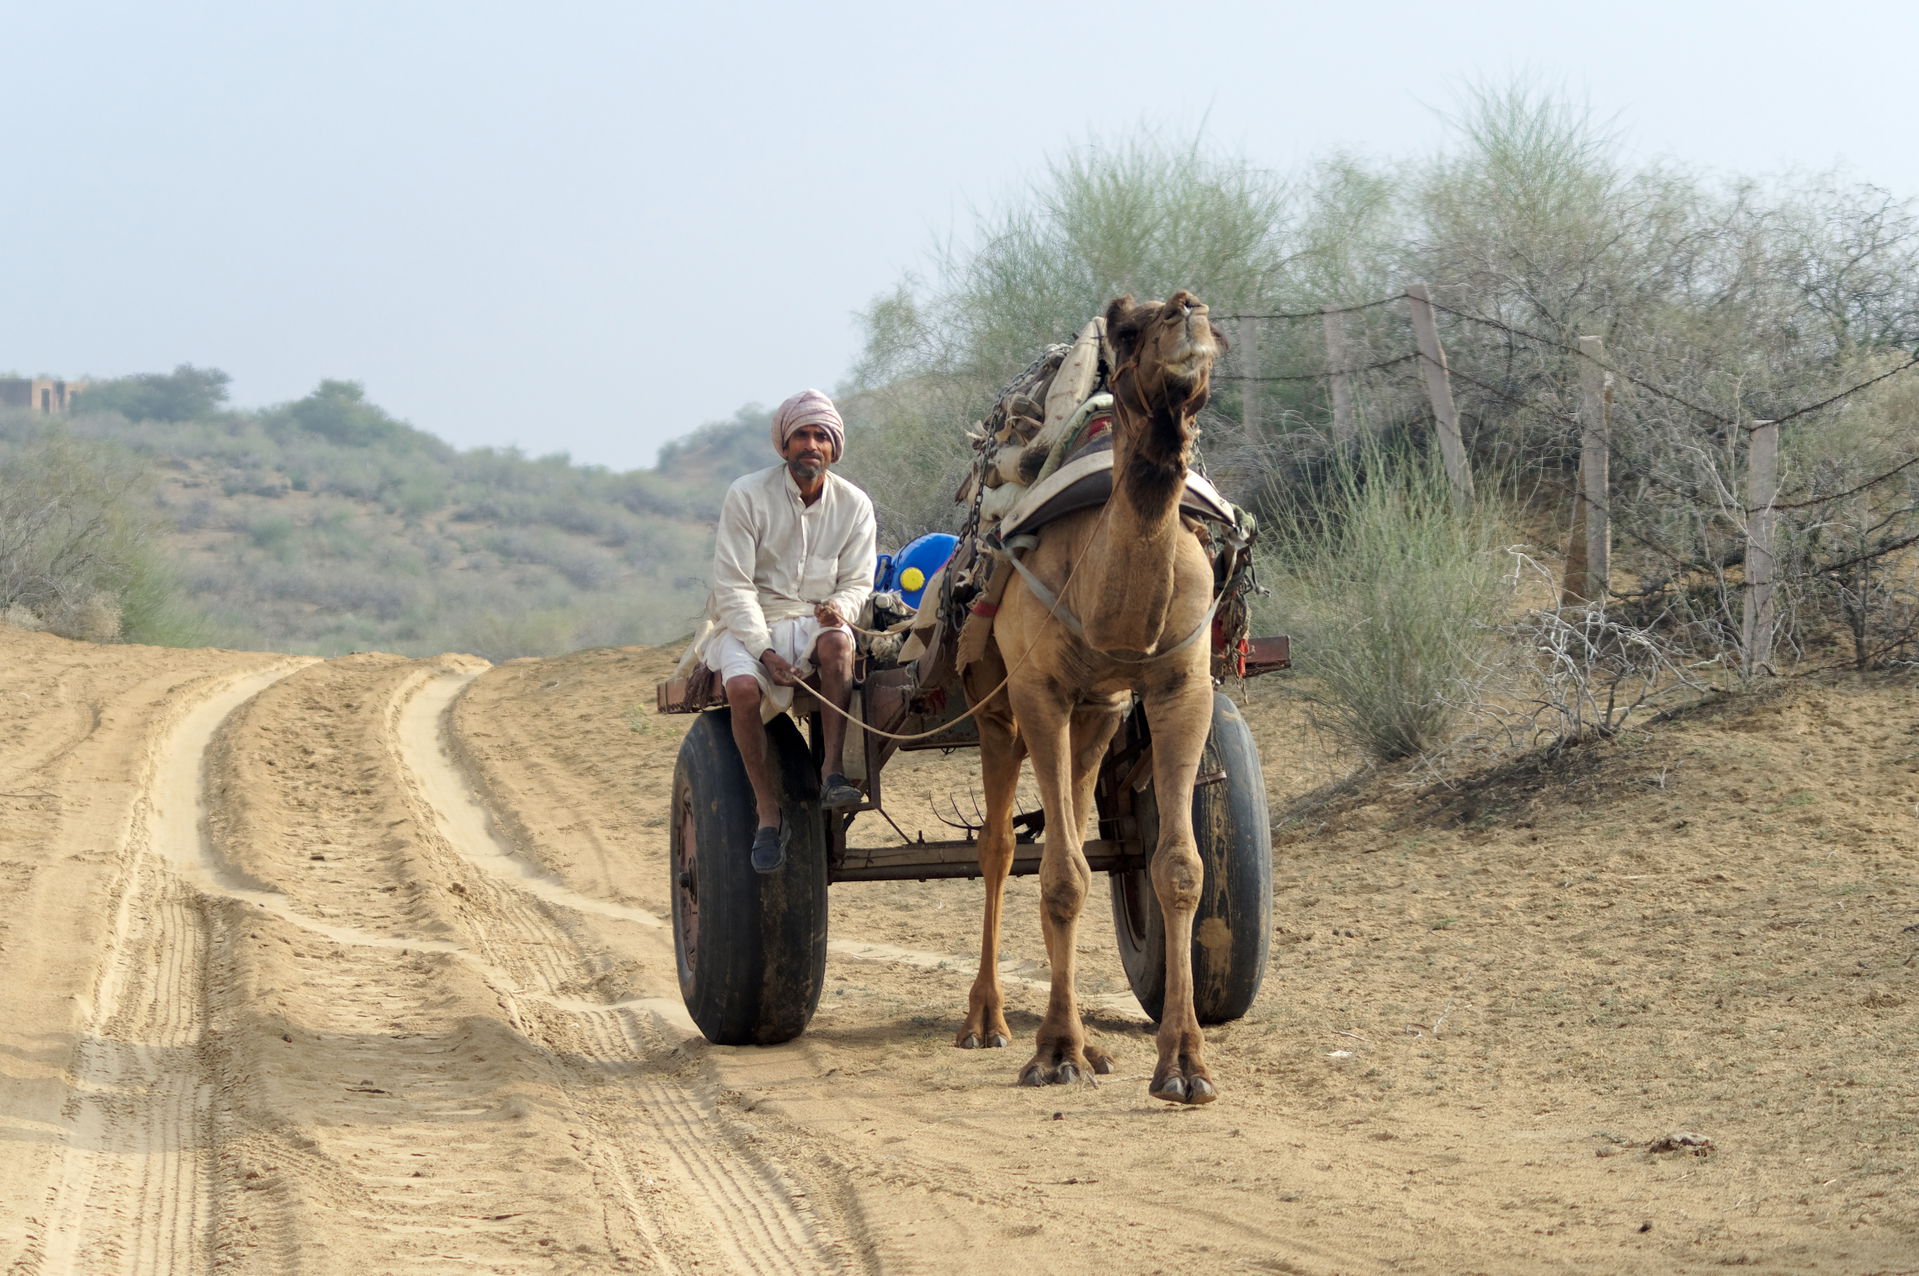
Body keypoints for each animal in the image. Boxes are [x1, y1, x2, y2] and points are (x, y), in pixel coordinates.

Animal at [956, 291, 1230, 1104]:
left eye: (1210, 320)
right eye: (1131, 327)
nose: (1187, 310)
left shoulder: (1180, 687)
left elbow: (1178, 868)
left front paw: (1185, 1065)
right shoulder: (1039, 691)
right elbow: (1057, 874)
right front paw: (1054, 1054)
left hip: (1099, 713)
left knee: (1072, 829)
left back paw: (1091, 1043)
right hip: (996, 707)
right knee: (998, 846)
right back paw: (988, 1020)